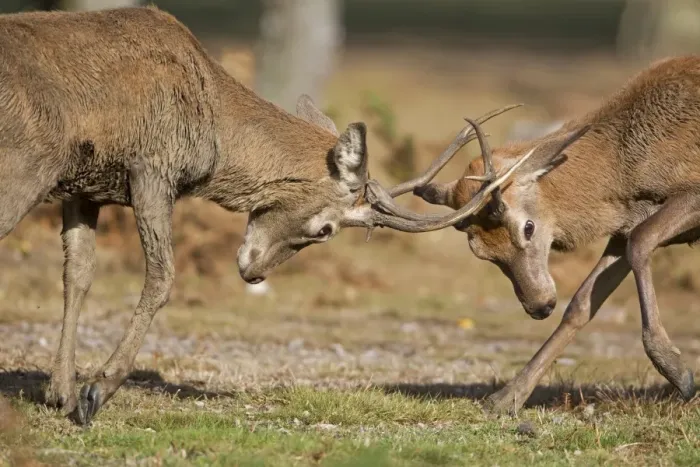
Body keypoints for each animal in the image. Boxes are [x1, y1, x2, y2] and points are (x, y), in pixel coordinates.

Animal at [0, 6, 530, 425]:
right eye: (326, 229)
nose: (253, 272)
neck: (212, 140)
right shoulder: (151, 167)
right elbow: (163, 275)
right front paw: (96, 390)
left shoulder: (84, 185)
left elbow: (78, 274)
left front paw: (61, 393)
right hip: (26, 166)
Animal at [367, 55, 700, 415]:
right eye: (481, 251)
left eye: (528, 227)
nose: (539, 305)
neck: (627, 179)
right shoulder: (623, 229)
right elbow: (582, 303)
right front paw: (505, 398)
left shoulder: (686, 195)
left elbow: (641, 242)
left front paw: (678, 372)